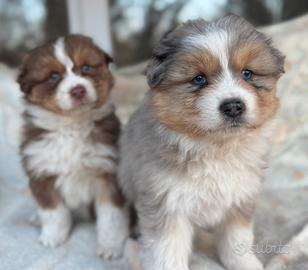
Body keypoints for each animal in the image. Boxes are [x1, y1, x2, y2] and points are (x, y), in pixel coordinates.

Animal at [18, 34, 129, 260]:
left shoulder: (108, 171)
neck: (71, 126)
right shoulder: (42, 171)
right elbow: (54, 212)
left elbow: (111, 217)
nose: (78, 90)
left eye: (86, 68)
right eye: (53, 76)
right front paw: (52, 237)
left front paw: (111, 246)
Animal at [118, 15, 284, 270]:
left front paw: (244, 262)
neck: (215, 148)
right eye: (198, 79)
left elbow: (237, 238)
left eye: (247, 73)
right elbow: (166, 249)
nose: (233, 106)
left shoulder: (241, 195)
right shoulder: (166, 201)